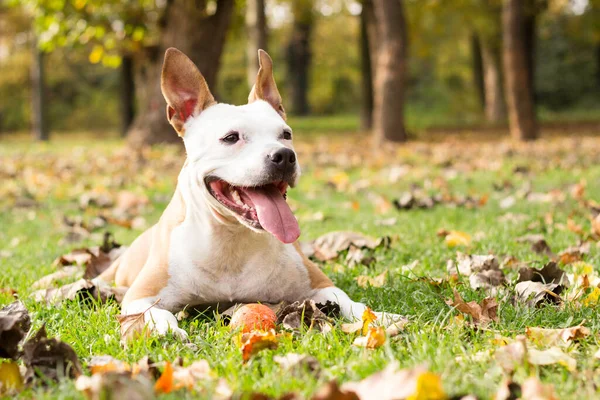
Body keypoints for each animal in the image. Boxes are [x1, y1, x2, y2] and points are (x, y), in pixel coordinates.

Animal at [96, 48, 400, 340]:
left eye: (286, 134)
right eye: (231, 137)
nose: (284, 156)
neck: (232, 237)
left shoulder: (321, 286)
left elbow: (352, 304)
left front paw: (381, 318)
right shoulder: (142, 296)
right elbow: (156, 313)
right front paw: (166, 330)